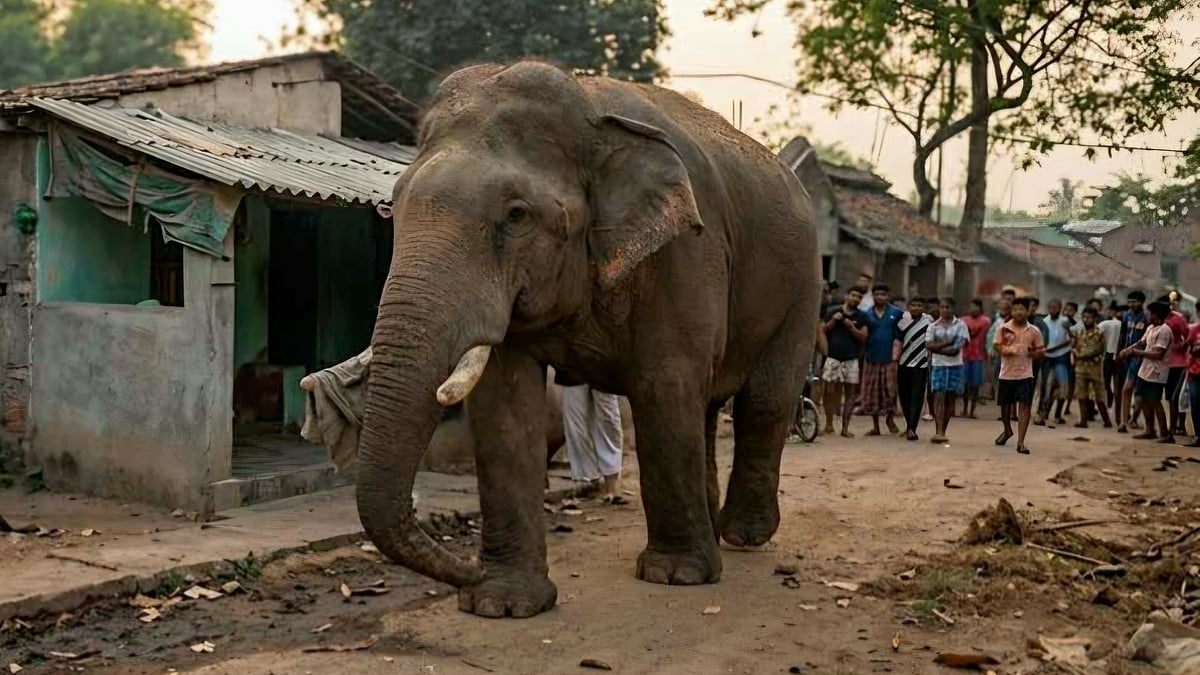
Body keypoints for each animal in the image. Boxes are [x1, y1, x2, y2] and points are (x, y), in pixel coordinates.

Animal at [358, 61, 819, 619]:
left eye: (517, 214)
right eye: (394, 207)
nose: (466, 570)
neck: (591, 112)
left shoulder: (688, 249)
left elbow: (664, 383)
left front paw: (676, 576)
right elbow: (504, 403)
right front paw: (502, 604)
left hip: (802, 283)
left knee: (764, 401)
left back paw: (743, 537)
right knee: (708, 406)